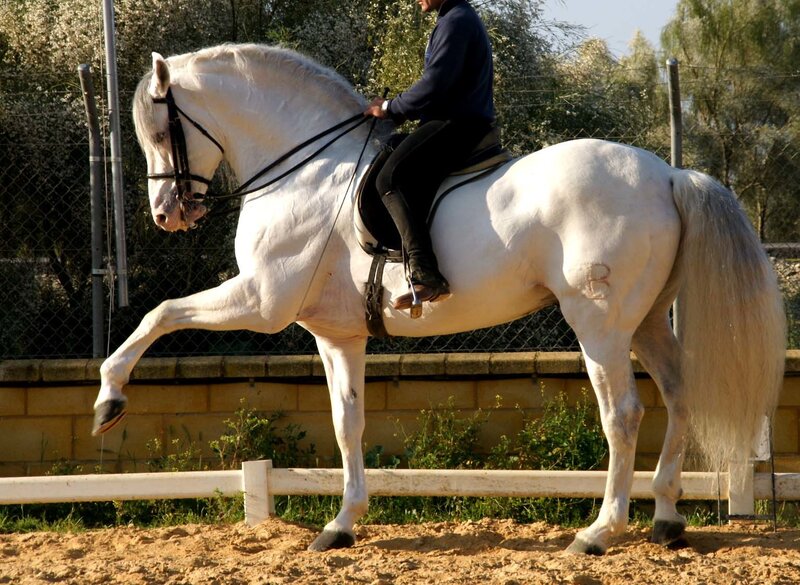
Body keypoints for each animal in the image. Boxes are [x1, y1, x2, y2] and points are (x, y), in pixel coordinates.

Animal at [93, 43, 786, 555]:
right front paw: (341, 526)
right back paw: (666, 519)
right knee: (678, 395)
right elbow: (347, 422)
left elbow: (158, 313)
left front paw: (109, 400)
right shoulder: (336, 334)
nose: (167, 215)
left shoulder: (261, 302)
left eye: (161, 130)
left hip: (601, 324)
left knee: (624, 414)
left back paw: (597, 533)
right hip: (645, 321)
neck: (303, 172)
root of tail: (668, 174)